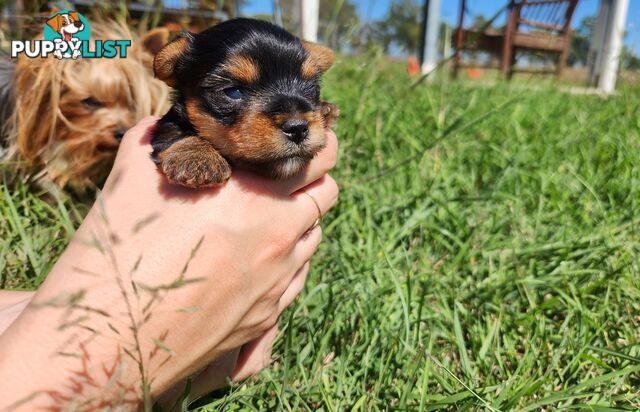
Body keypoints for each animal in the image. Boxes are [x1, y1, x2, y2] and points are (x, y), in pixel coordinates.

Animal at [153, 18, 340, 188]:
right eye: (233, 91)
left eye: (311, 87)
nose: (297, 128)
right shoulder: (169, 122)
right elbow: (172, 130)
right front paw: (197, 156)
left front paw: (325, 110)